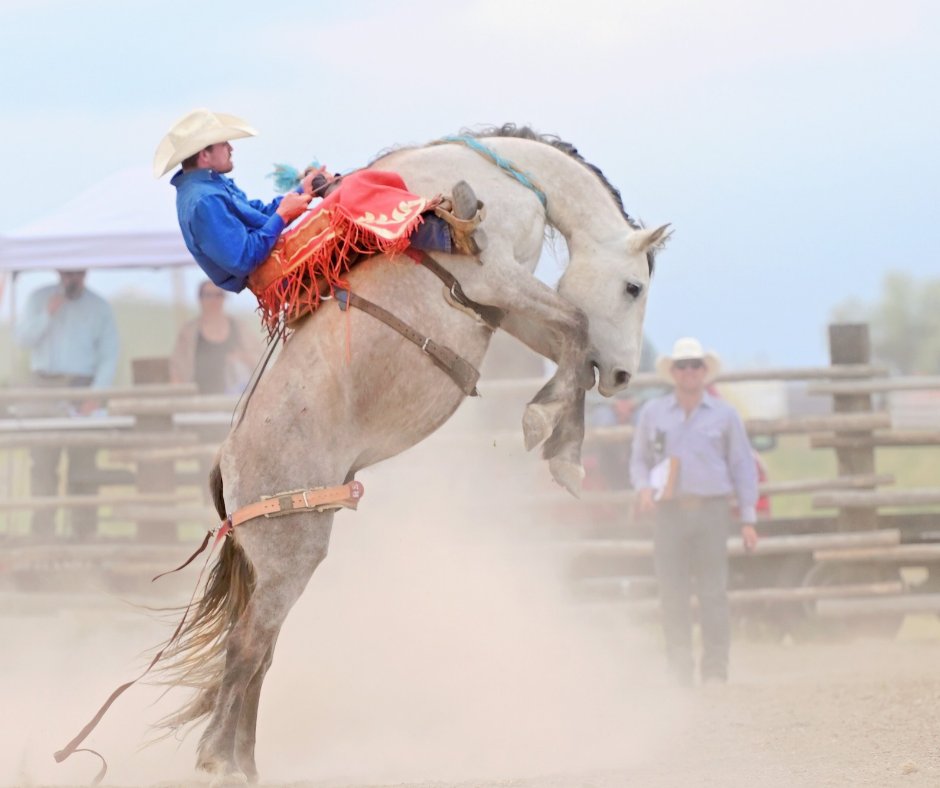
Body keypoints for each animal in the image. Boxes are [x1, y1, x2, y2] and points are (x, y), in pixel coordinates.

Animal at [154, 125, 668, 784]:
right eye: (634, 286)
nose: (625, 376)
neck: (507, 178)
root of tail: (229, 464)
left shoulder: (505, 304)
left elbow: (569, 345)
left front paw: (561, 444)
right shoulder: (497, 278)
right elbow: (577, 323)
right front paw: (549, 428)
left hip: (279, 560)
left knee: (261, 651)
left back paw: (244, 761)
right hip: (292, 550)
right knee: (247, 646)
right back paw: (220, 762)